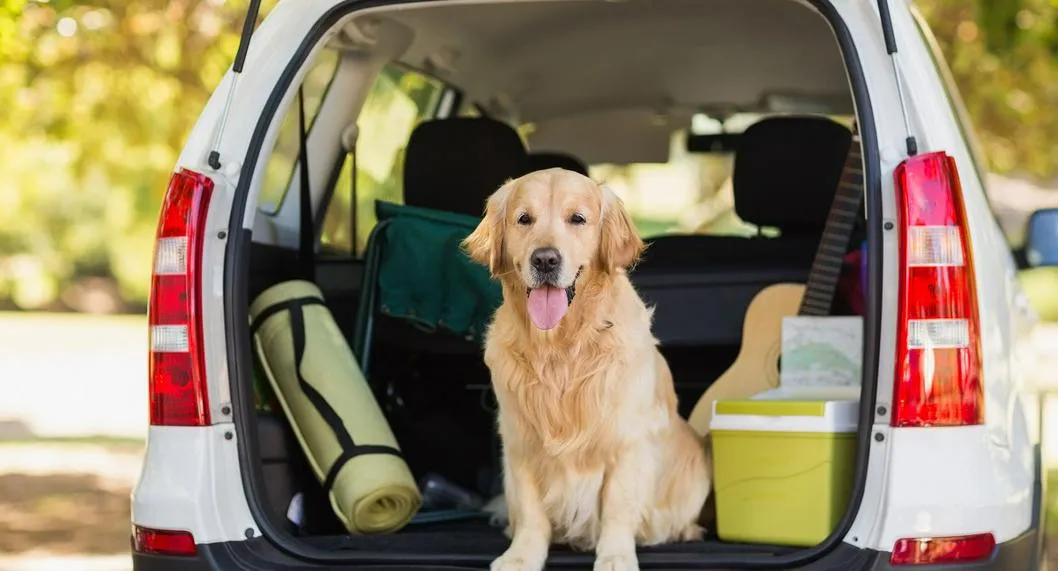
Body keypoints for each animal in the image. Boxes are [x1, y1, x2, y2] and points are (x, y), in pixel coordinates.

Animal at [463, 167, 710, 566]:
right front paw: (521, 557)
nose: (545, 260)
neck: (561, 349)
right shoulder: (520, 441)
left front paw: (615, 557)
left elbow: (618, 508)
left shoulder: (626, 442)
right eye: (524, 219)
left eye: (577, 219)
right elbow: (530, 511)